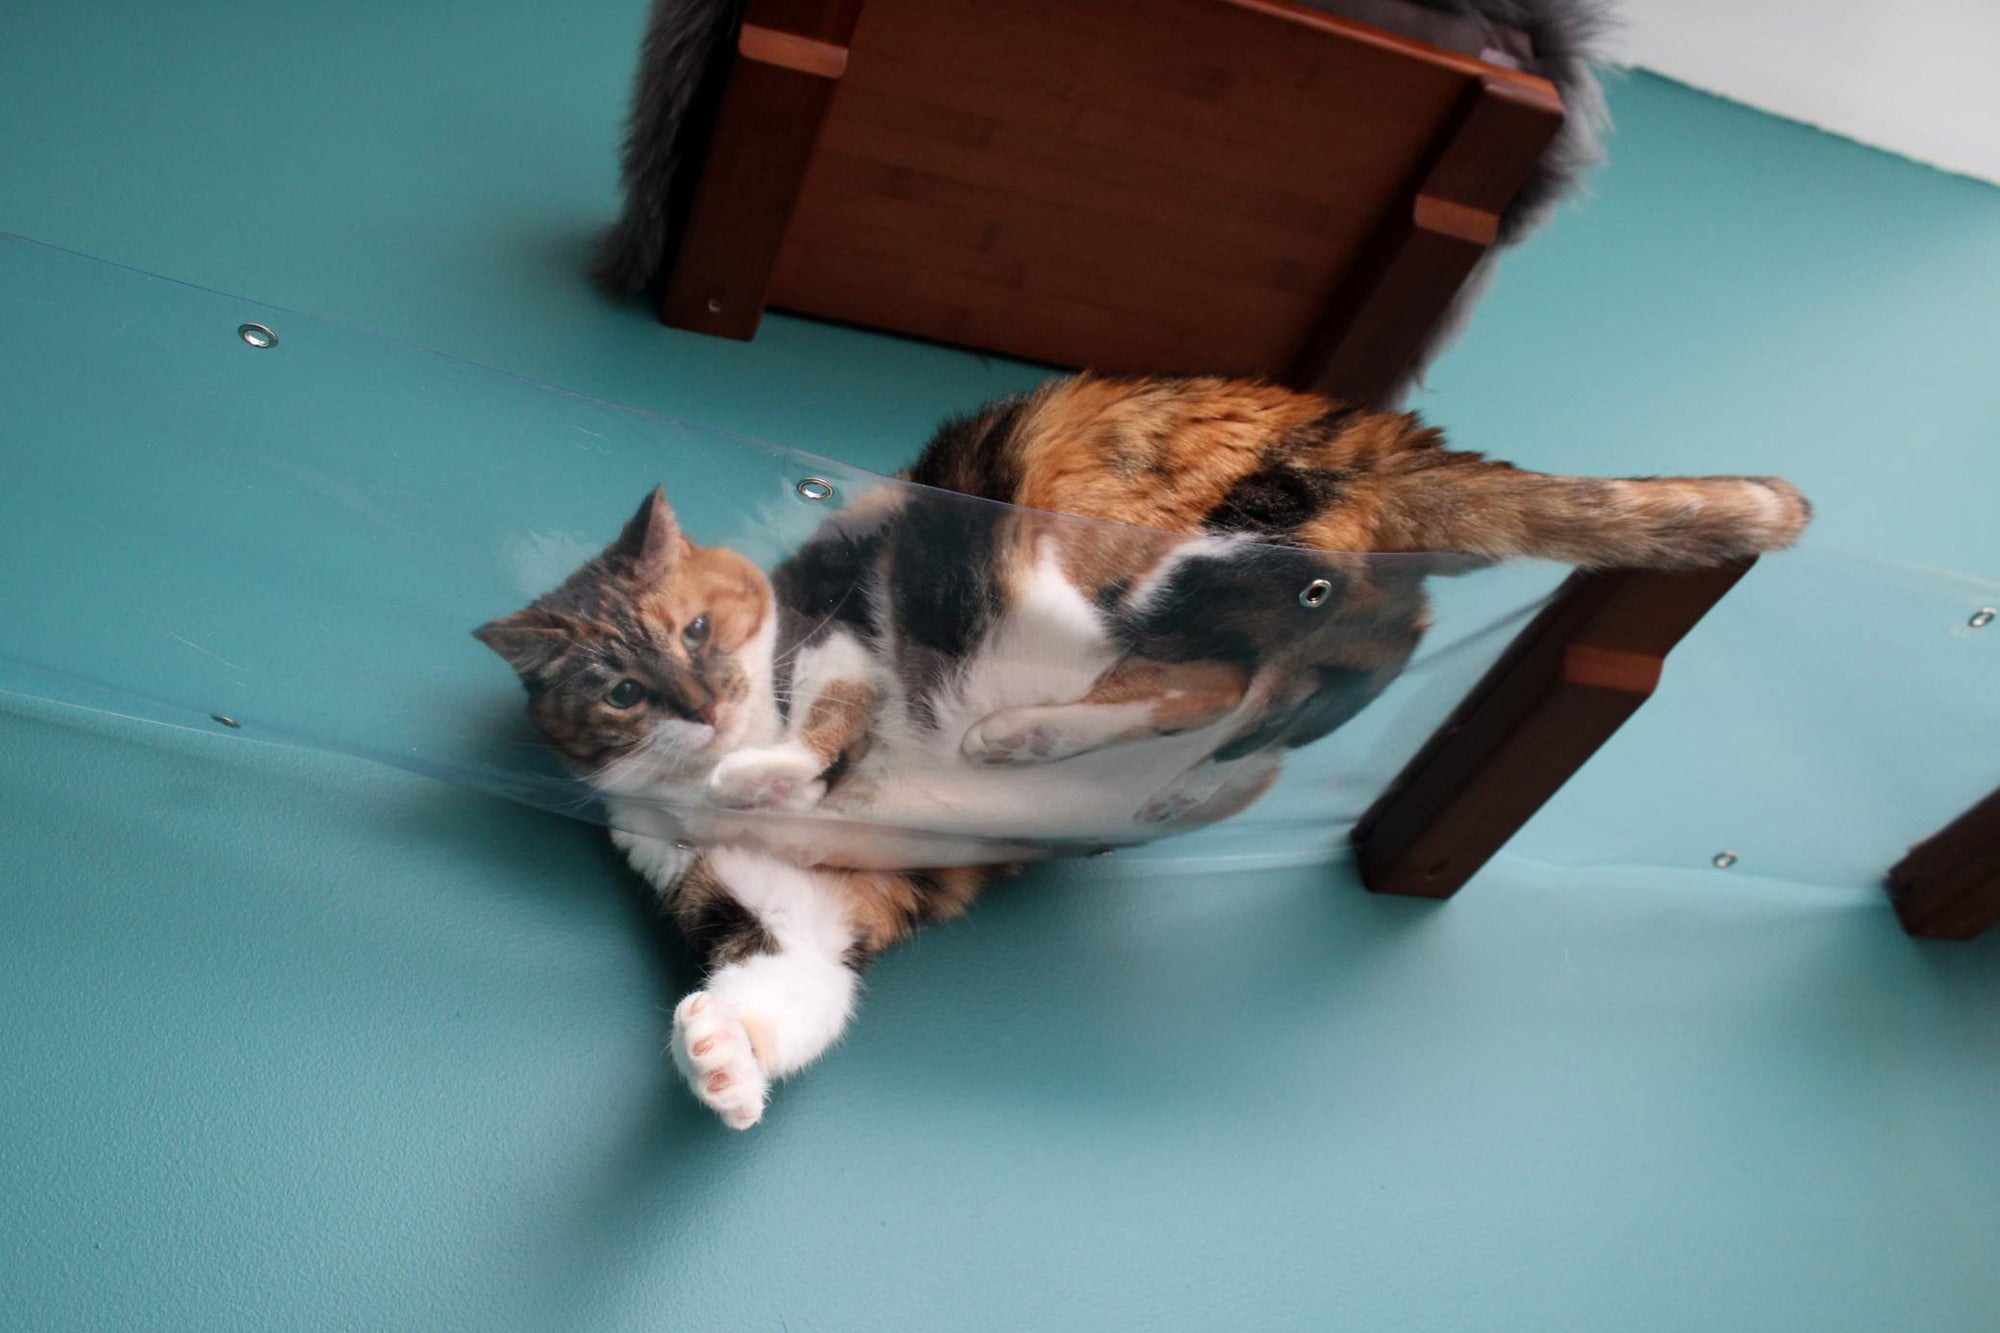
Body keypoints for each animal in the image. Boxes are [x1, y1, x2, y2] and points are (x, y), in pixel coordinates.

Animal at [472, 370, 1816, 1120]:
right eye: (616, 688)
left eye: (695, 629)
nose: (695, 704)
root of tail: (1383, 434)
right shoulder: (785, 904)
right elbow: (791, 991)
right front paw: (715, 1058)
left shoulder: (842, 630)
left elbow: (824, 729)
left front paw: (774, 764)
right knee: (1295, 689)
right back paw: (1161, 784)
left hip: (1086, 540)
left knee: (1226, 647)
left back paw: (1027, 730)